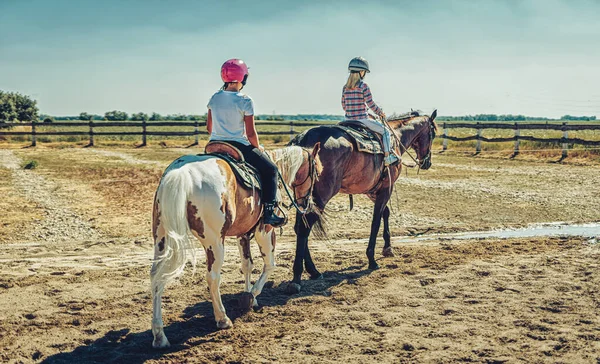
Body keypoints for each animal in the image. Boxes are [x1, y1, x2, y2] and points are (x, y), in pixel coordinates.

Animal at [149, 144, 322, 346]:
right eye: (316, 172)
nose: (308, 203)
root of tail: (181, 173)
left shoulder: (243, 234)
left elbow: (247, 265)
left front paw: (250, 297)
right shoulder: (265, 230)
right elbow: (270, 265)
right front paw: (251, 296)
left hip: (161, 238)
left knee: (156, 277)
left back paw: (159, 335)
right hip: (214, 242)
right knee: (213, 277)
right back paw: (222, 319)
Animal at [288, 111, 438, 292]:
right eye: (432, 134)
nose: (427, 162)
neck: (396, 137)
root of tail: (303, 140)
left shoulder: (373, 191)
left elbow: (385, 213)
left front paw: (388, 248)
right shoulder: (386, 188)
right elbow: (376, 221)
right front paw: (372, 260)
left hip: (303, 197)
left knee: (300, 227)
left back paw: (314, 271)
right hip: (321, 197)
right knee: (304, 229)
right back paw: (297, 278)